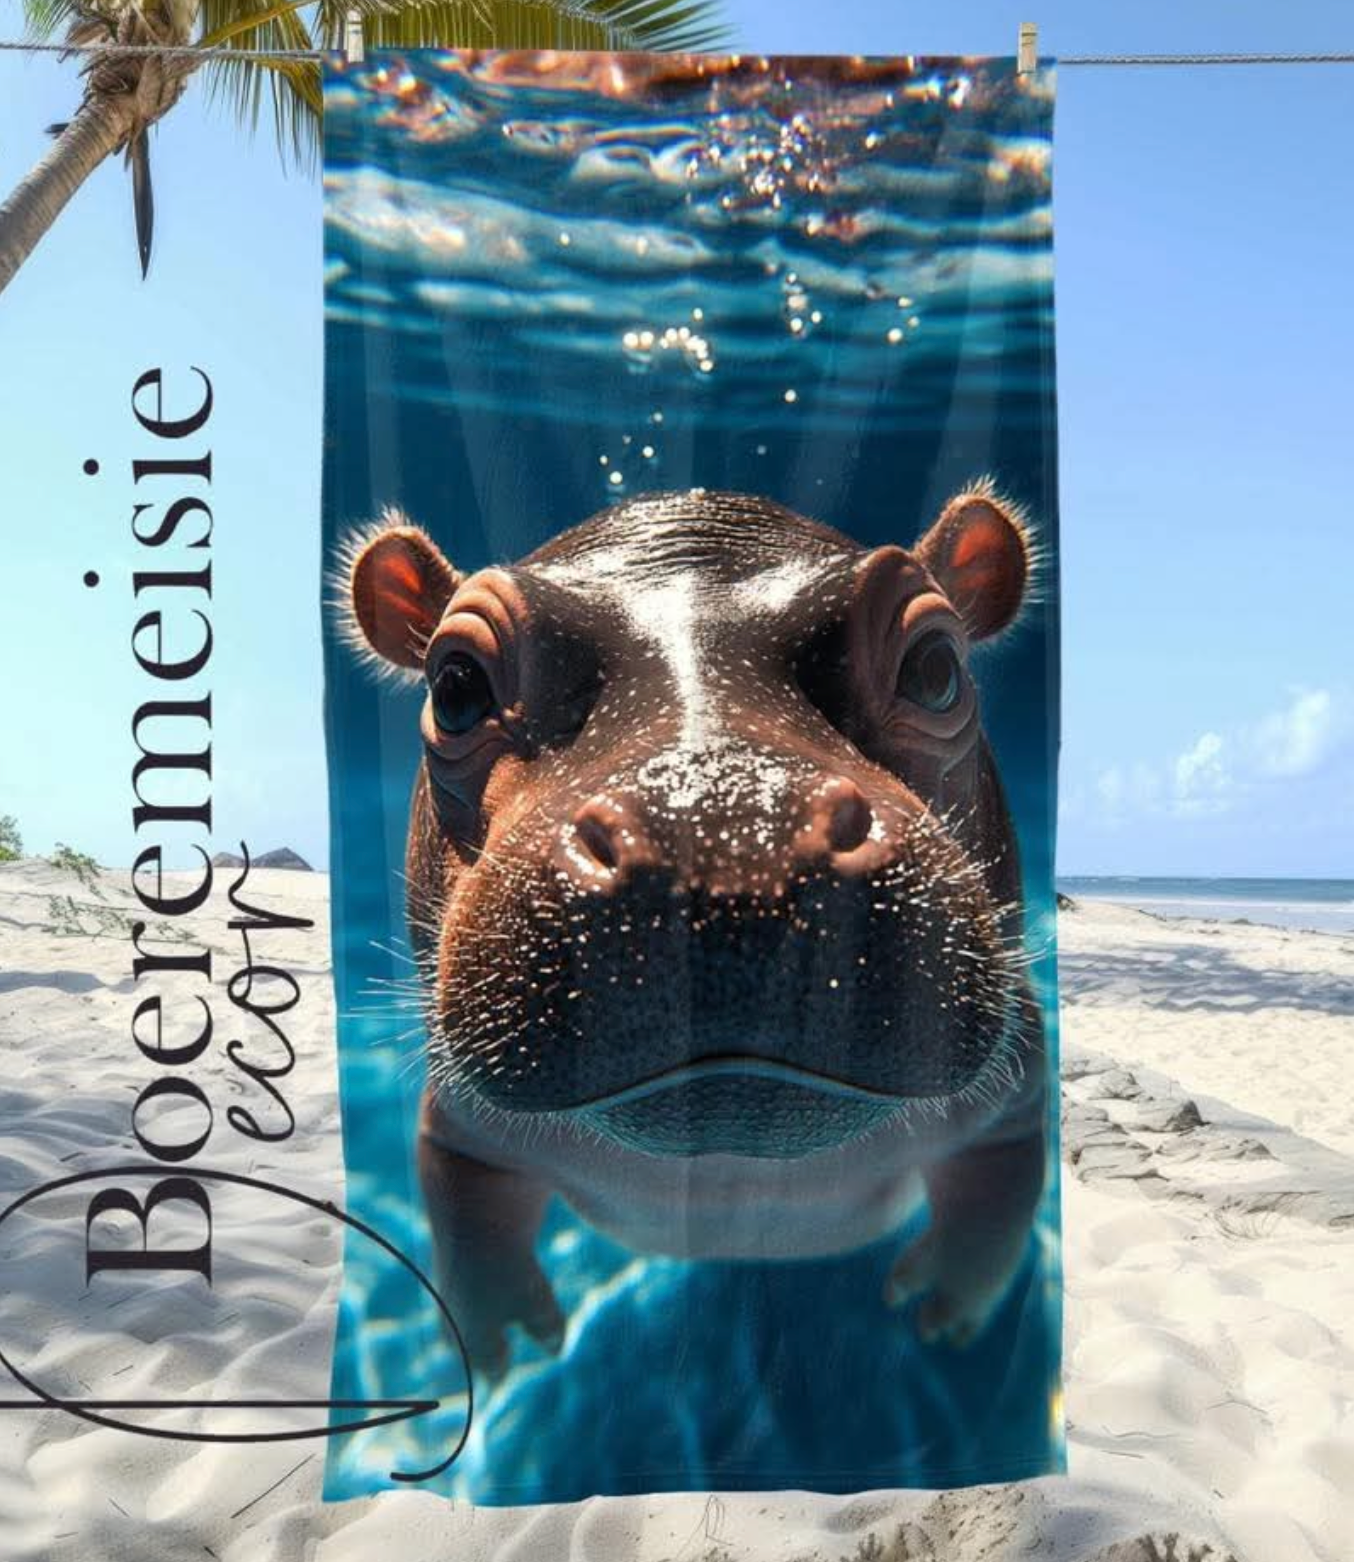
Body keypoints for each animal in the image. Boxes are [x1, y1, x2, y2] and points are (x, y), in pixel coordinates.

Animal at [343, 485, 1049, 1377]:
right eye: (456, 685)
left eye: (935, 667)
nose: (725, 826)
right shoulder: (462, 1122)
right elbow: (466, 1219)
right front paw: (507, 1344)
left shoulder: (1015, 1093)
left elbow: (998, 1200)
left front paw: (946, 1315)